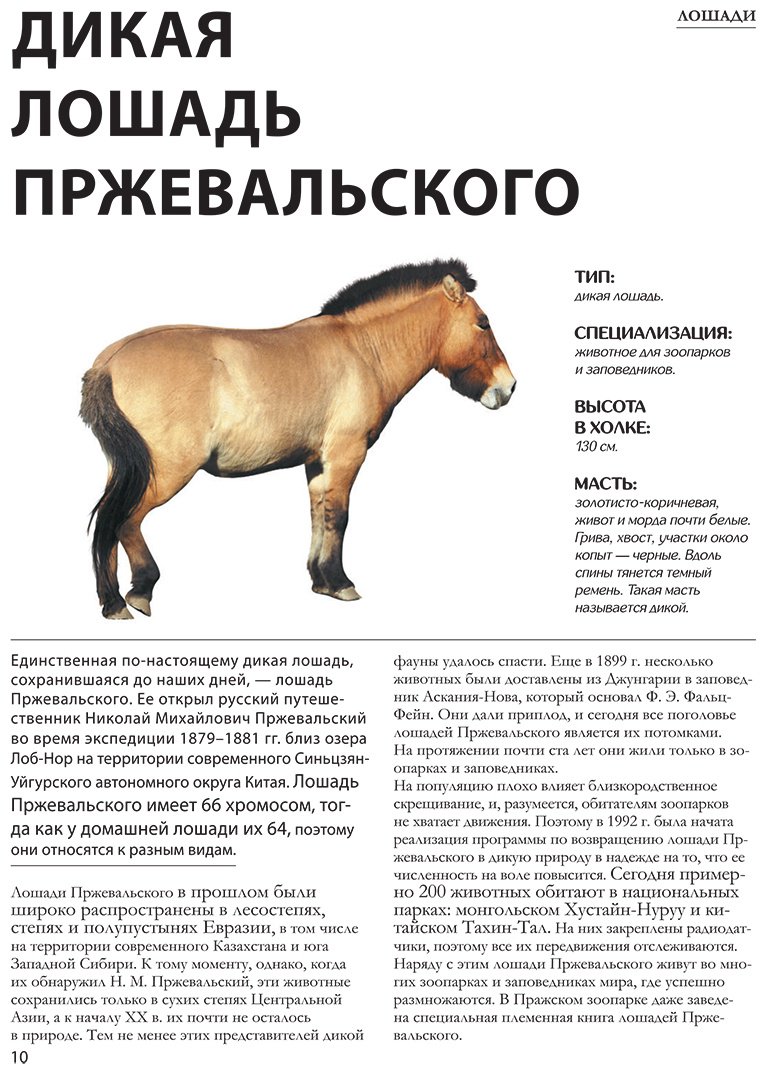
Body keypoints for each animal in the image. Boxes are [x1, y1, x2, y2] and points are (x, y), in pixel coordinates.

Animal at [80, 259, 516, 619]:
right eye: (483, 322)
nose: (508, 387)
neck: (364, 350)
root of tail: (109, 362)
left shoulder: (317, 462)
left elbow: (317, 515)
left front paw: (320, 581)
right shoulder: (346, 455)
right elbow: (339, 516)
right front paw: (341, 583)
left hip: (126, 468)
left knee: (108, 522)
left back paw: (113, 603)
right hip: (165, 470)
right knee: (125, 521)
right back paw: (139, 592)